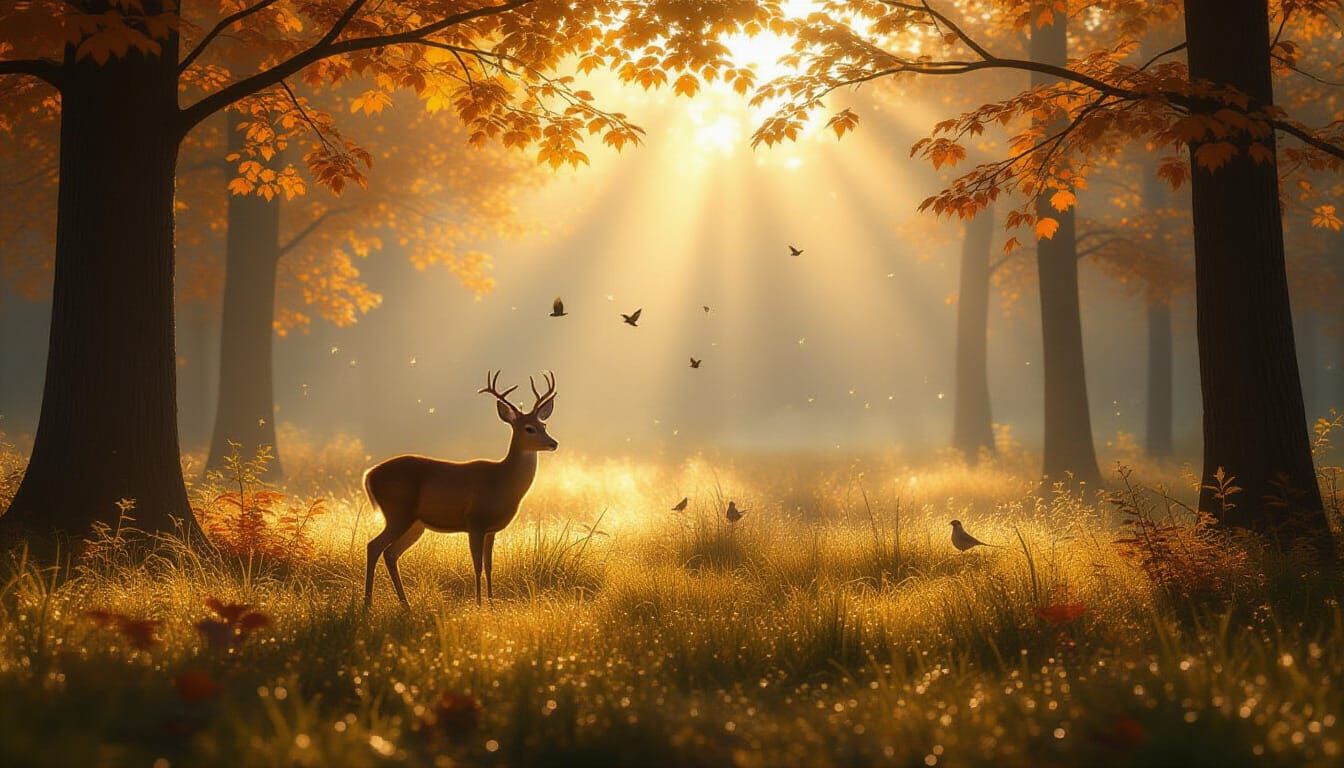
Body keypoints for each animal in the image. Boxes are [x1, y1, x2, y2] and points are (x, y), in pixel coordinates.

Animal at [363, 370, 558, 608]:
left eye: (544, 425)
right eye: (529, 429)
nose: (553, 443)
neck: (501, 481)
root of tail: (369, 475)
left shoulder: (491, 529)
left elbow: (490, 566)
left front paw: (492, 605)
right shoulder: (475, 521)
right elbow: (477, 565)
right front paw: (479, 605)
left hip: (415, 525)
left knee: (390, 553)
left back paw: (405, 605)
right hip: (398, 513)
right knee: (374, 546)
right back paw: (367, 604)